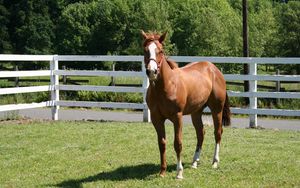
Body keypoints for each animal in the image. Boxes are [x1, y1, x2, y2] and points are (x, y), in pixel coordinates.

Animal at [142, 30, 231, 178]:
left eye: (160, 51)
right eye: (145, 50)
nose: (152, 72)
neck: (166, 86)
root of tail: (214, 69)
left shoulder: (177, 117)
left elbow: (178, 143)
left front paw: (179, 172)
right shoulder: (156, 118)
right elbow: (162, 143)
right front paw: (162, 171)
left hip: (216, 109)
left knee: (218, 132)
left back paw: (215, 162)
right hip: (196, 112)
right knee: (201, 133)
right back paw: (194, 162)